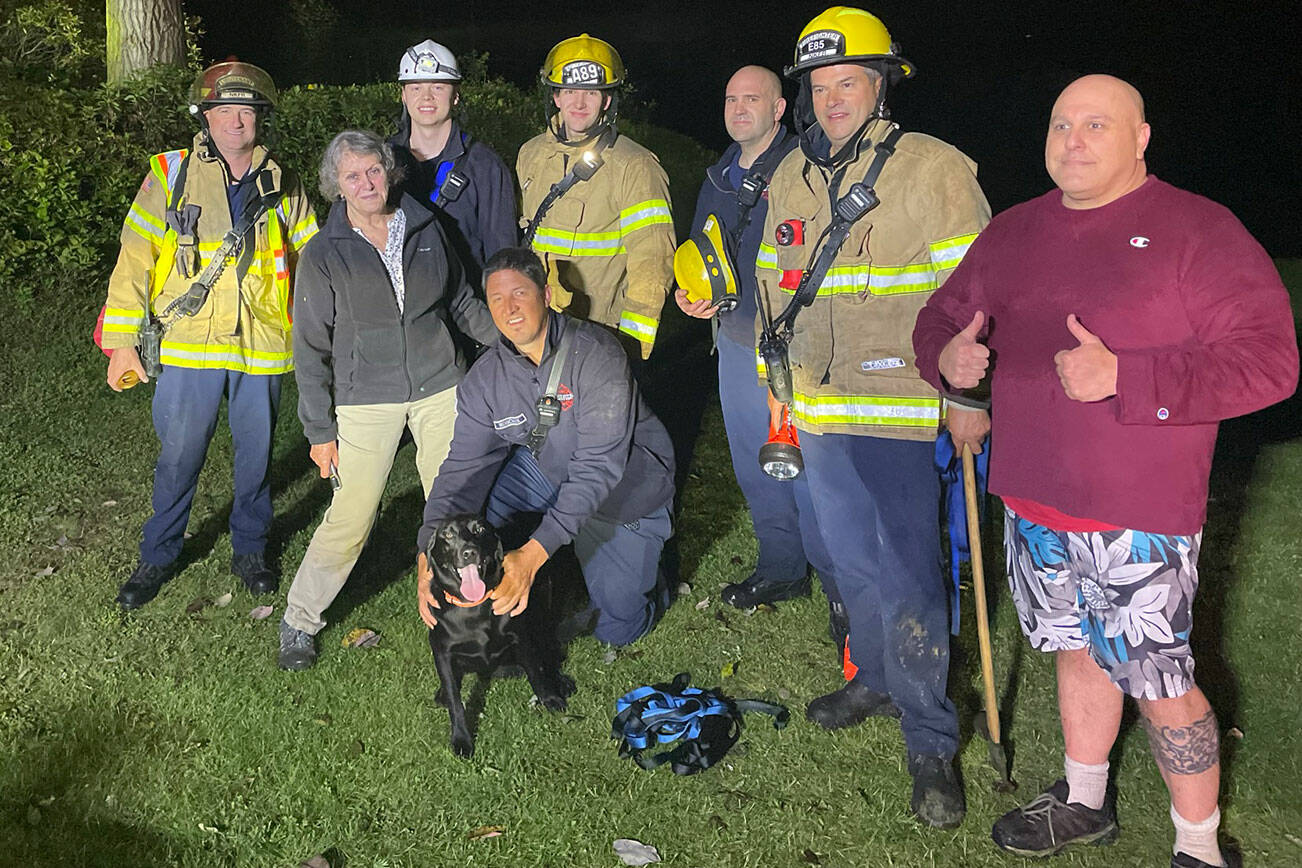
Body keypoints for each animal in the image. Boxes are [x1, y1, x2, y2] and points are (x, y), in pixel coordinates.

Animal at [424, 515, 572, 754]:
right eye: (447, 534)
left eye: (480, 529)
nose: (469, 552)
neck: (473, 607)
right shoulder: (442, 652)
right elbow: (455, 701)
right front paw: (461, 739)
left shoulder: (520, 638)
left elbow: (536, 673)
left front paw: (549, 698)